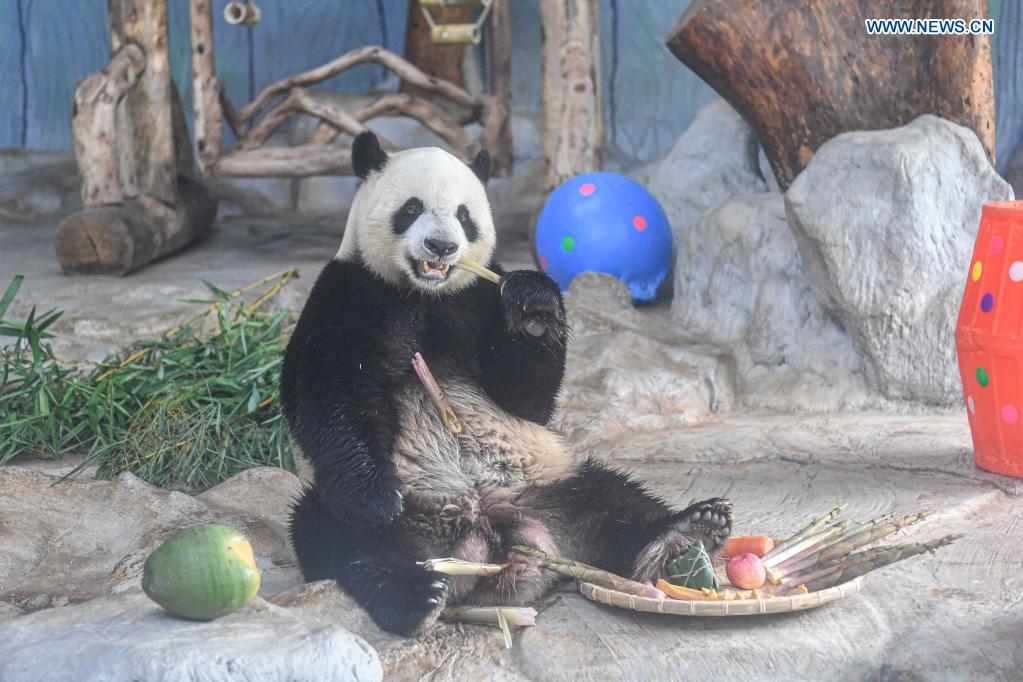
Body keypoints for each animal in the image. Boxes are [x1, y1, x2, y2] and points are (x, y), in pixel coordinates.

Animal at [286, 131, 736, 633]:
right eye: (412, 208)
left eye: (465, 216)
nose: (441, 246)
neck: (426, 295)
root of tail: (487, 536)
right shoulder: (351, 292)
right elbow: (326, 393)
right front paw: (378, 496)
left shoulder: (479, 297)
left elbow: (526, 399)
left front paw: (535, 310)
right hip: (389, 513)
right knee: (338, 536)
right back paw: (415, 594)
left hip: (552, 485)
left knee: (615, 502)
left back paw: (686, 530)